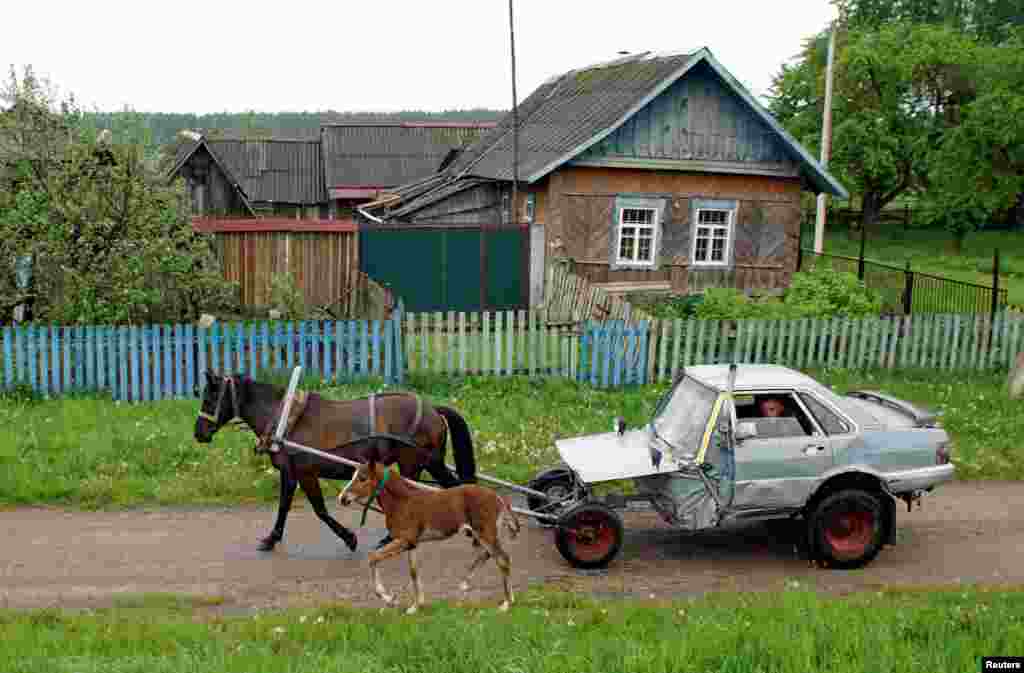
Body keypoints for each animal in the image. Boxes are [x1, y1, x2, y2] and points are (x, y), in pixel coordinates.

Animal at [193, 370, 477, 553]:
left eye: (210, 397)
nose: (199, 433)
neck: (286, 419)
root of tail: (433, 409)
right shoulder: (290, 472)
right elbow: (284, 506)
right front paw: (272, 539)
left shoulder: (306, 473)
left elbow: (319, 510)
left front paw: (349, 538)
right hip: (427, 463)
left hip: (416, 463)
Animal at [339, 458, 520, 610]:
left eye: (362, 478)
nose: (342, 498)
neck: (402, 502)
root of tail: (498, 498)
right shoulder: (412, 543)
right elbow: (413, 572)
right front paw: (415, 606)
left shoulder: (404, 539)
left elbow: (373, 557)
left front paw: (389, 599)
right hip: (481, 534)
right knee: (489, 555)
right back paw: (465, 583)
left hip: (485, 533)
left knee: (503, 559)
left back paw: (506, 603)